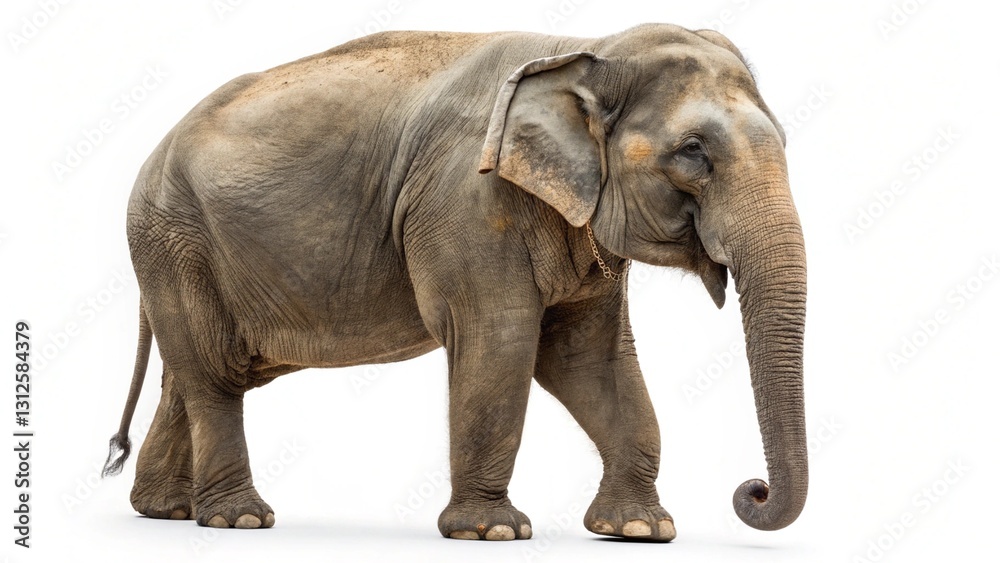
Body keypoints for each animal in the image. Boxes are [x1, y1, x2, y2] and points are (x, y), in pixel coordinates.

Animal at [103, 23, 808, 542]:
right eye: (693, 151)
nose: (752, 489)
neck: (583, 47)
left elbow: (590, 356)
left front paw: (638, 529)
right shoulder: (467, 202)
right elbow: (500, 341)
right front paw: (492, 532)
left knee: (195, 373)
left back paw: (166, 511)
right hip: (175, 238)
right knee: (213, 372)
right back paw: (240, 518)